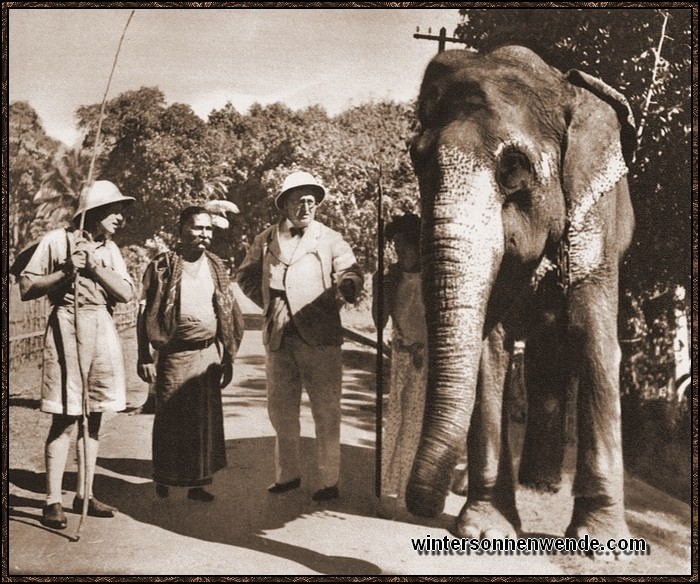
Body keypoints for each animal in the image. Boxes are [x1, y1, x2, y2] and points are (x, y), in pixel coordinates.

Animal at [404, 43, 640, 544]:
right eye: (418, 160)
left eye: (514, 167)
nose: (423, 506)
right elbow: (490, 343)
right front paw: (482, 528)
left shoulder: (597, 209)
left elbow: (591, 334)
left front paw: (603, 544)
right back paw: (534, 485)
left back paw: (543, 486)